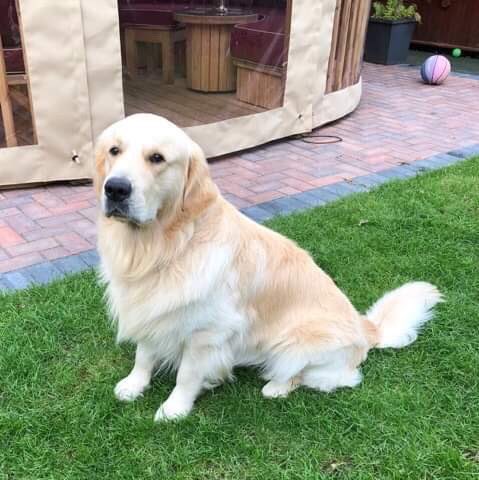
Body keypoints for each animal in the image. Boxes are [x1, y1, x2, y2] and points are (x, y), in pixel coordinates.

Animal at [95, 114, 444, 422]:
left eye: (157, 158)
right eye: (114, 151)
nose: (115, 189)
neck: (165, 245)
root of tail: (366, 328)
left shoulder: (208, 333)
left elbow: (187, 375)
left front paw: (174, 409)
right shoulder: (148, 307)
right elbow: (144, 353)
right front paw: (134, 384)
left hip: (296, 343)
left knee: (325, 377)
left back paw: (275, 386)